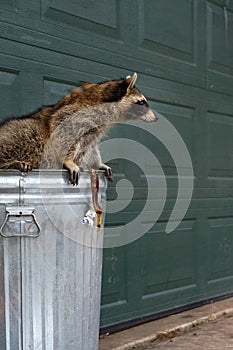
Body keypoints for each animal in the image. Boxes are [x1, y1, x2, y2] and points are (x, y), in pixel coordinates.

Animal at [0, 72, 158, 185]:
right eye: (142, 102)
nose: (156, 118)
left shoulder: (95, 130)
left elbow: (92, 147)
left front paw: (98, 163)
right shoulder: (75, 113)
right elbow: (61, 129)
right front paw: (68, 160)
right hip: (22, 133)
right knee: (27, 135)